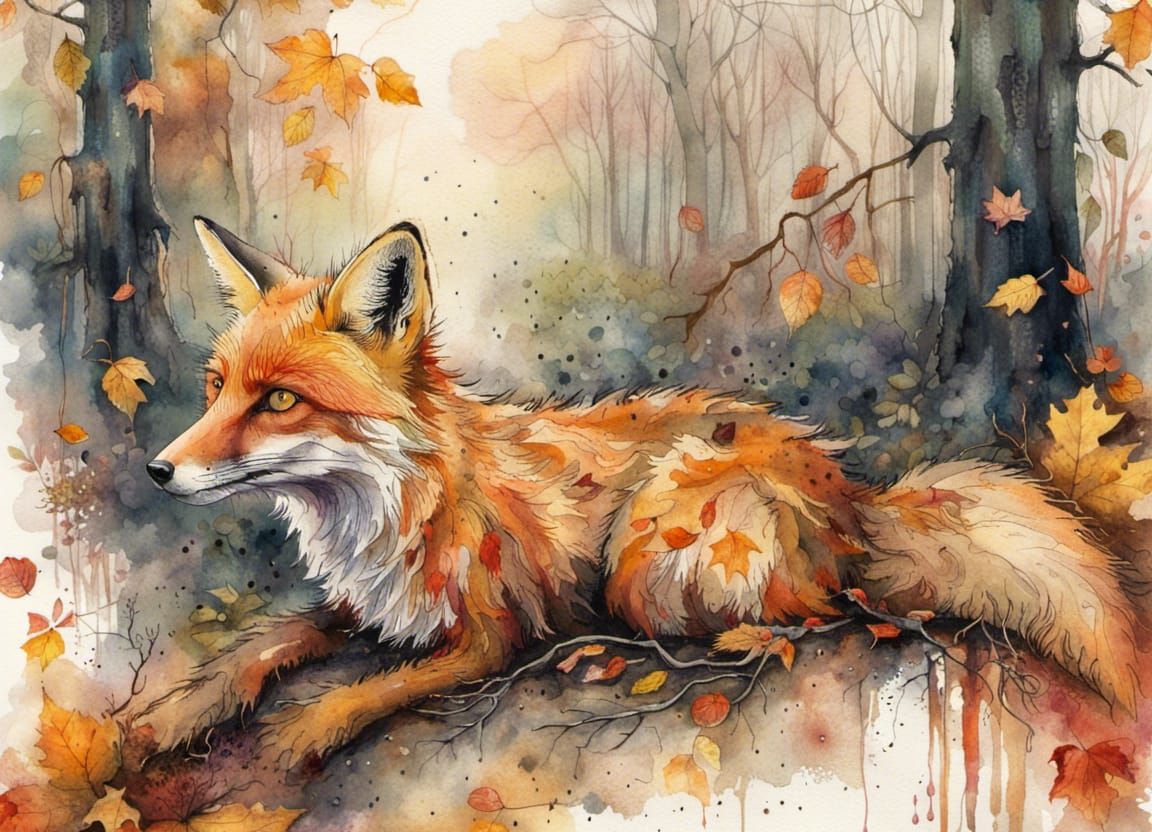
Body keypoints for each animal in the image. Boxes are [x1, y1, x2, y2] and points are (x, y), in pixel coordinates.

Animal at [138, 217, 1140, 766]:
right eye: (217, 388)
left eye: (279, 399)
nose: (157, 471)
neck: (393, 506)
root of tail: (855, 496)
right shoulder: (365, 603)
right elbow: (263, 643)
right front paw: (164, 716)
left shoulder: (491, 636)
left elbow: (378, 686)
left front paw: (309, 726)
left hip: (644, 553)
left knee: (814, 612)